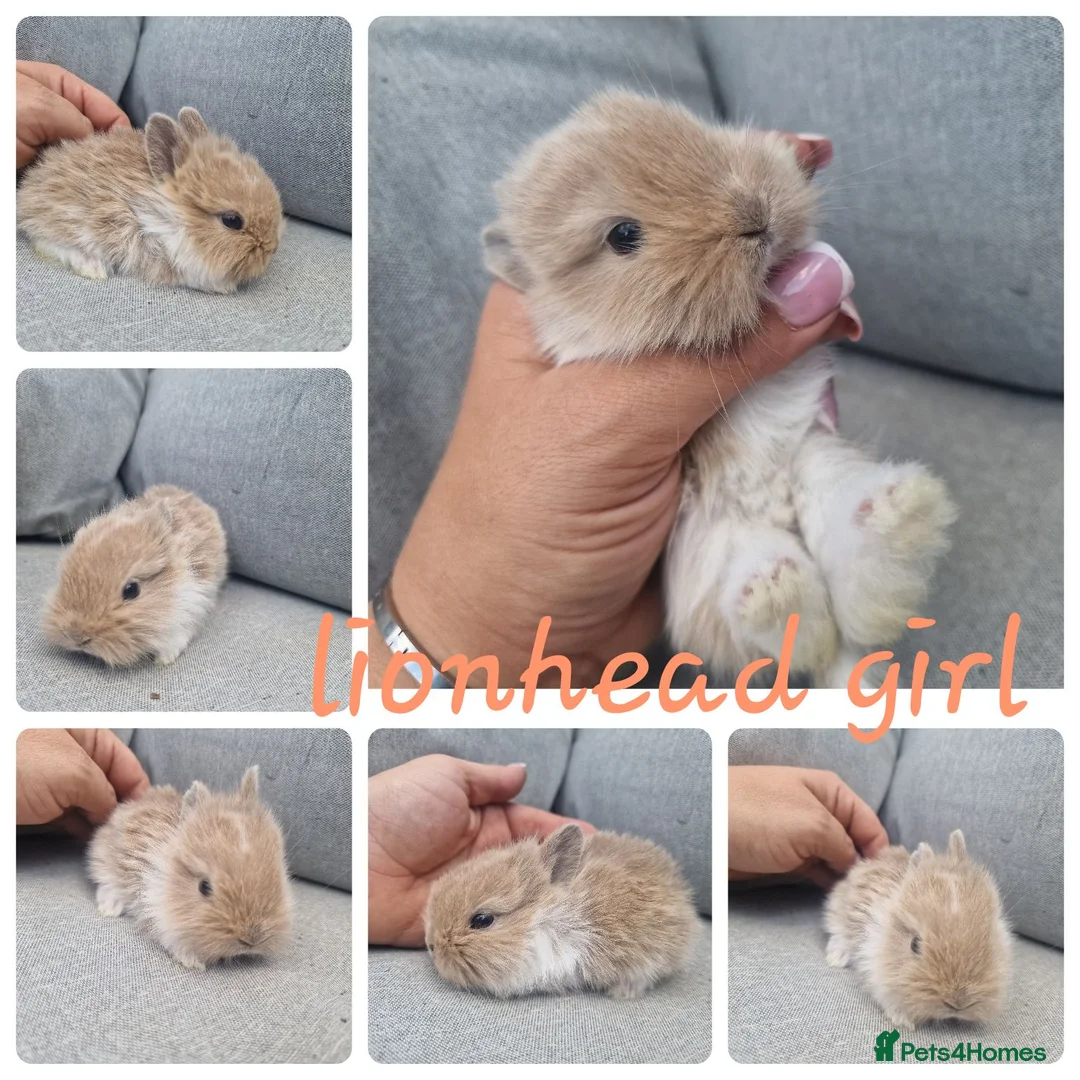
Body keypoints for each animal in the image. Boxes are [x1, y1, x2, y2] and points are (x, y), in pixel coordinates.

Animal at [17, 106, 284, 293]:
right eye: (232, 220)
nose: (272, 249)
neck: (171, 215)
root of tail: (29, 187)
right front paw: (226, 288)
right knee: (47, 242)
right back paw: (93, 268)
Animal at [482, 90, 957, 686]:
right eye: (623, 236)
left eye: (704, 131)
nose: (754, 215)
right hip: (711, 552)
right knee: (797, 630)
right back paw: (777, 589)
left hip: (819, 463)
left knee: (858, 596)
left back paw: (898, 513)